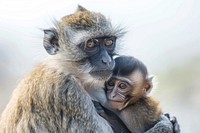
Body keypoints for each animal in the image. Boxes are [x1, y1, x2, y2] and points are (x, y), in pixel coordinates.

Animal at [0, 5, 178, 133]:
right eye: (91, 44)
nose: (107, 60)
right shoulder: (68, 93)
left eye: (109, 42)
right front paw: (167, 125)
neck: (70, 71)